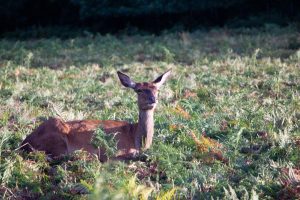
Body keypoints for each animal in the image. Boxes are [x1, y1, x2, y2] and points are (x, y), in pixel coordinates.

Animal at [19, 69, 171, 162]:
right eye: (139, 90)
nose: (153, 99)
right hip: (57, 134)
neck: (137, 139)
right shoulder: (116, 149)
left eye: (157, 90)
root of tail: (24, 143)